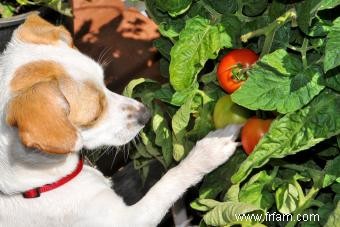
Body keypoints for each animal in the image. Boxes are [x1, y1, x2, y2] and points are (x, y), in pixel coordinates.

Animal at [0, 15, 240, 226]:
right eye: (94, 115)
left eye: (104, 81)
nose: (146, 114)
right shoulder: (130, 219)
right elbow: (170, 180)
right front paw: (209, 151)